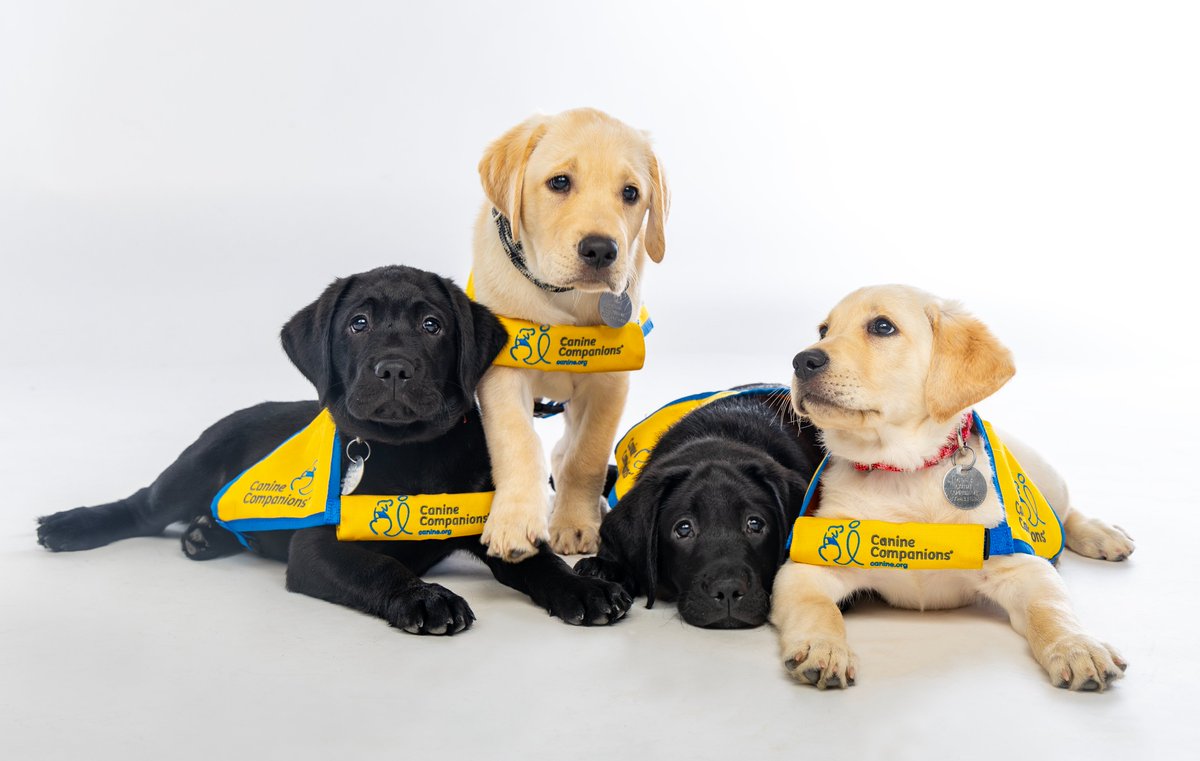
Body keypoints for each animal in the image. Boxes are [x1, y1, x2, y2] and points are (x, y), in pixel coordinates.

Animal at [39, 264, 628, 628]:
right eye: (358, 323)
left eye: (432, 325)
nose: (394, 368)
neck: (410, 452)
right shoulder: (319, 548)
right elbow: (378, 568)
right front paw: (425, 596)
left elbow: (542, 564)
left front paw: (584, 589)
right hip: (191, 468)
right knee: (141, 506)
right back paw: (72, 525)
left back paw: (208, 536)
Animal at [472, 108, 672, 556]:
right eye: (560, 182)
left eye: (630, 193)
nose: (600, 250)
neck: (561, 298)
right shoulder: (502, 374)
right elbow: (518, 443)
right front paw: (514, 521)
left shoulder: (609, 384)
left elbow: (585, 456)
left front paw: (576, 523)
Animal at [777, 283, 1132, 686]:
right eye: (823, 330)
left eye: (882, 327)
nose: (801, 361)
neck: (905, 471)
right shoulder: (807, 565)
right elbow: (817, 608)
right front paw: (823, 646)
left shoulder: (1024, 568)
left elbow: (1051, 608)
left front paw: (1077, 647)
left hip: (1046, 478)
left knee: (1067, 513)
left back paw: (1102, 533)